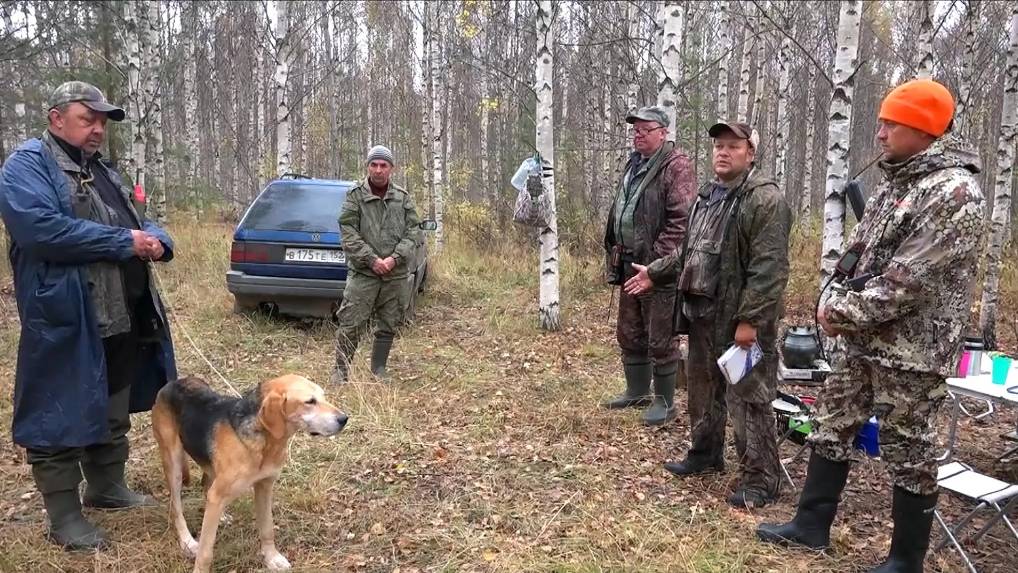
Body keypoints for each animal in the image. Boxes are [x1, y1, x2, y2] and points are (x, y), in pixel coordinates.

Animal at [150, 376, 348, 573]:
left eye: (323, 396)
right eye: (310, 402)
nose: (344, 418)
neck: (266, 442)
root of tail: (173, 383)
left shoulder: (265, 486)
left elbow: (267, 529)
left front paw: (272, 558)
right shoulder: (219, 494)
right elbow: (205, 552)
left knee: (206, 486)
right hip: (174, 465)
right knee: (176, 509)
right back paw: (187, 541)